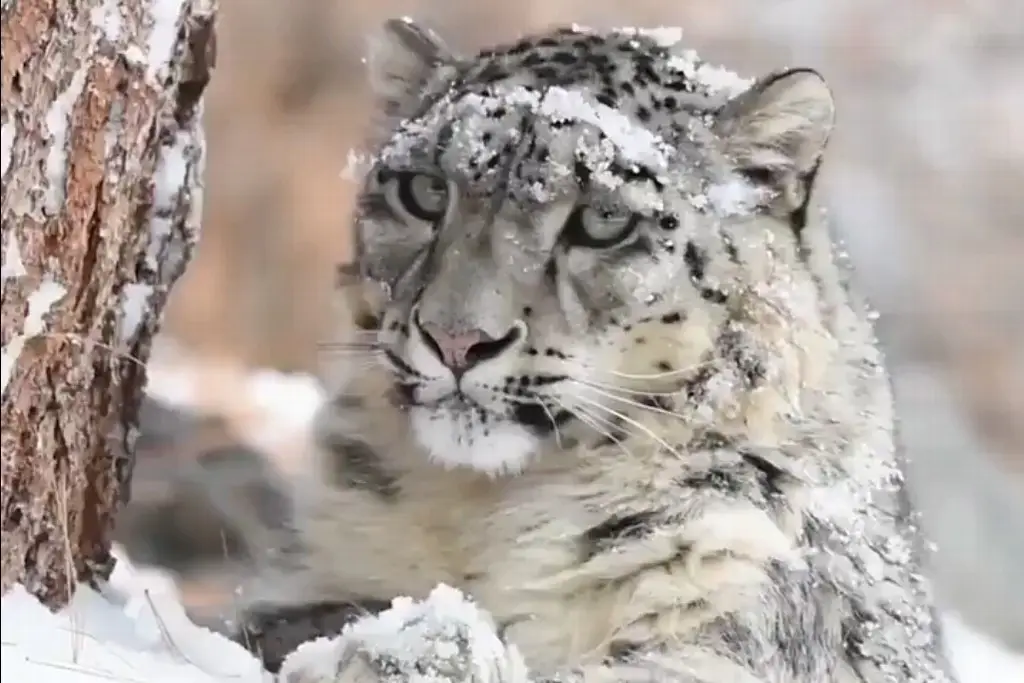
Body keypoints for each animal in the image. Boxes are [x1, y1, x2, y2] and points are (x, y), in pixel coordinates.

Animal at [235, 20, 954, 683]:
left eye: (605, 222)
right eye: (425, 191)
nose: (457, 338)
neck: (480, 513)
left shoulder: (729, 627)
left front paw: (420, 648)